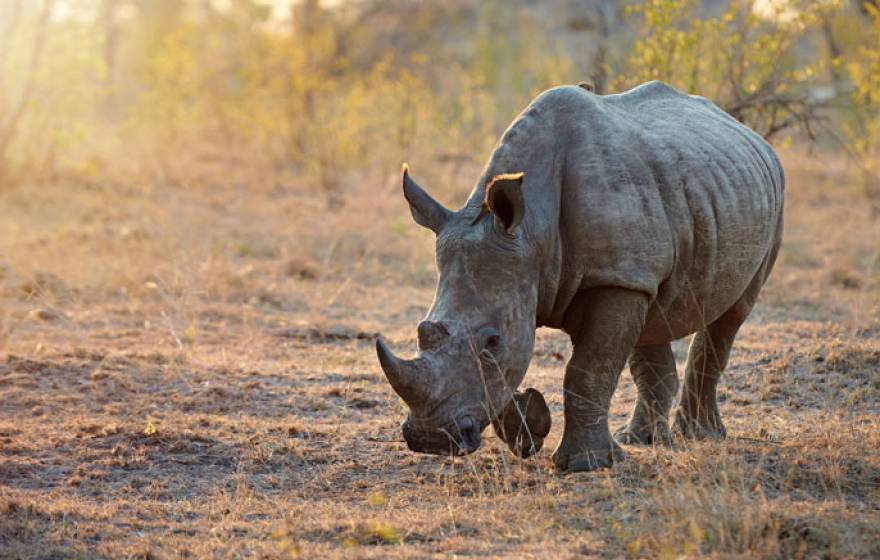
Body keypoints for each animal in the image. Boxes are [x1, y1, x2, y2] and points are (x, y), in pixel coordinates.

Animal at [376, 80, 784, 472]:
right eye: (422, 332)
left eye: (491, 341)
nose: (429, 439)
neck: (531, 233)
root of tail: (750, 134)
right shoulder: (557, 274)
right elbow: (518, 369)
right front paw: (529, 427)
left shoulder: (612, 278)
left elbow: (588, 370)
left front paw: (584, 465)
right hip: (675, 210)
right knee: (654, 315)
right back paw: (643, 441)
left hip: (768, 198)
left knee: (732, 314)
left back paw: (701, 436)